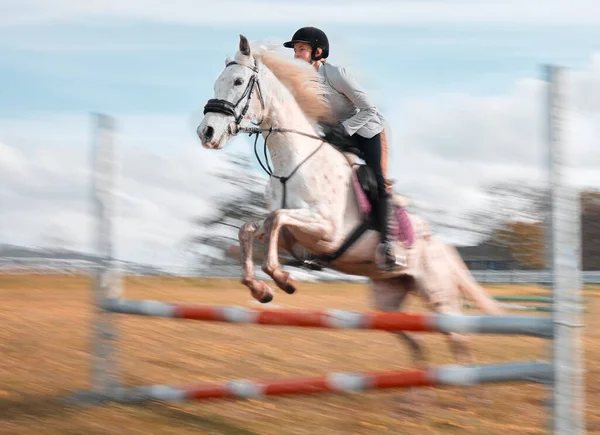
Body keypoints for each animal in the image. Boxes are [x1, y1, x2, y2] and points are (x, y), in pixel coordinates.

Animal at [196, 35, 502, 372]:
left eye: (238, 82)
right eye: (217, 83)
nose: (206, 133)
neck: (293, 161)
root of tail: (441, 245)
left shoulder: (327, 230)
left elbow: (276, 220)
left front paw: (283, 279)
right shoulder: (293, 232)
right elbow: (250, 228)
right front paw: (260, 289)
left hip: (439, 295)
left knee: (459, 342)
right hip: (387, 299)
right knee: (416, 342)